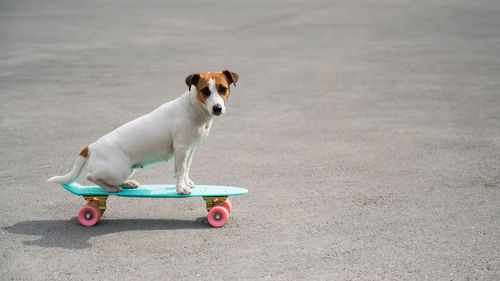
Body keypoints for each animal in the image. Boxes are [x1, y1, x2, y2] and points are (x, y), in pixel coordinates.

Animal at [47, 69, 239, 194]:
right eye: (205, 91)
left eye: (223, 88)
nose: (217, 108)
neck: (194, 108)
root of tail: (91, 147)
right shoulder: (181, 149)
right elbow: (180, 170)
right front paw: (181, 188)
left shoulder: (190, 150)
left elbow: (186, 169)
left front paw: (187, 183)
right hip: (117, 169)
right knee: (91, 177)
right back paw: (114, 187)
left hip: (126, 170)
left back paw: (128, 184)